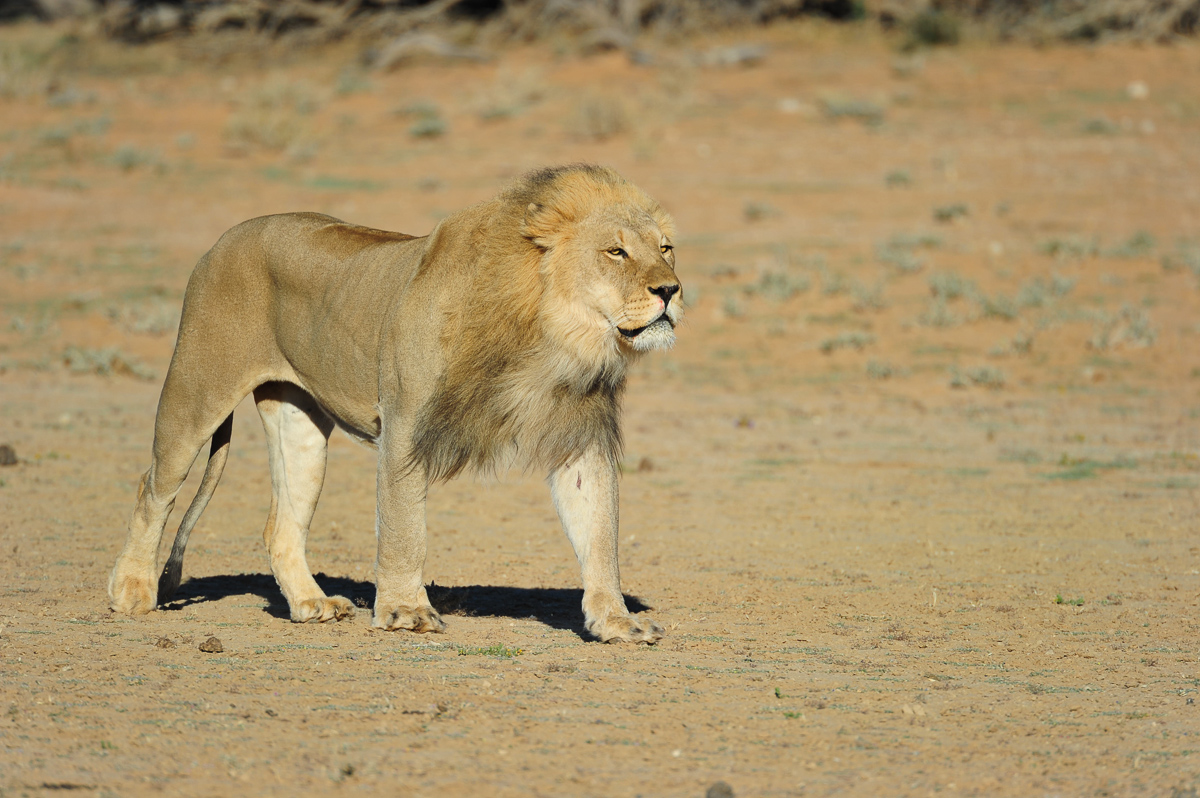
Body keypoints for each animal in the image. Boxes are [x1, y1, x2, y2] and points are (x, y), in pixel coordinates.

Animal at [108, 164, 680, 643]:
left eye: (666, 248)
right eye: (616, 252)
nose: (671, 291)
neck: (552, 336)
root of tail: (224, 239)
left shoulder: (581, 435)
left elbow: (599, 531)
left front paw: (616, 621)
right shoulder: (405, 422)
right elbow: (405, 526)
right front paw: (407, 611)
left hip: (299, 422)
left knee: (280, 525)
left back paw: (311, 604)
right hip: (196, 390)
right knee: (152, 487)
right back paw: (131, 591)